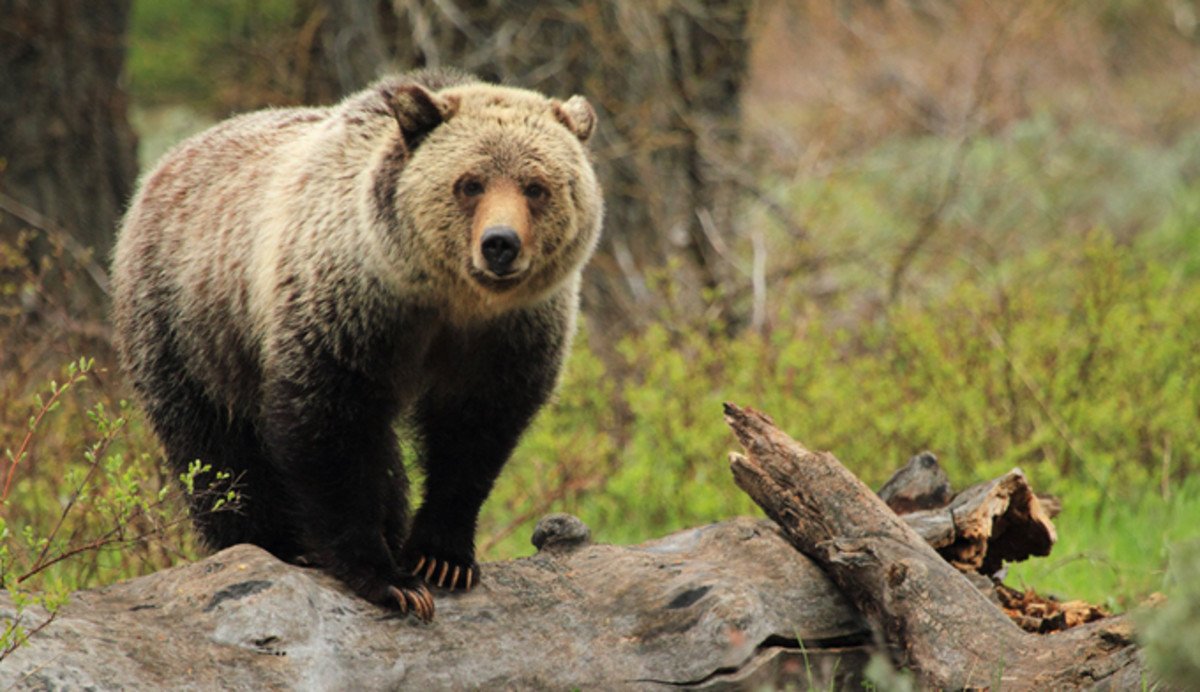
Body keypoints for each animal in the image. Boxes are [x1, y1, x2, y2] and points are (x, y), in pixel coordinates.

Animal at [111, 69, 602, 622]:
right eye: (470, 183)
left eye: (536, 187)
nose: (500, 244)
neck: (448, 300)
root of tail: (165, 164)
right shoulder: (348, 309)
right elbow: (329, 431)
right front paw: (390, 578)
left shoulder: (509, 336)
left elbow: (474, 437)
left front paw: (442, 558)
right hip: (188, 325)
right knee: (214, 448)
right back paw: (270, 543)